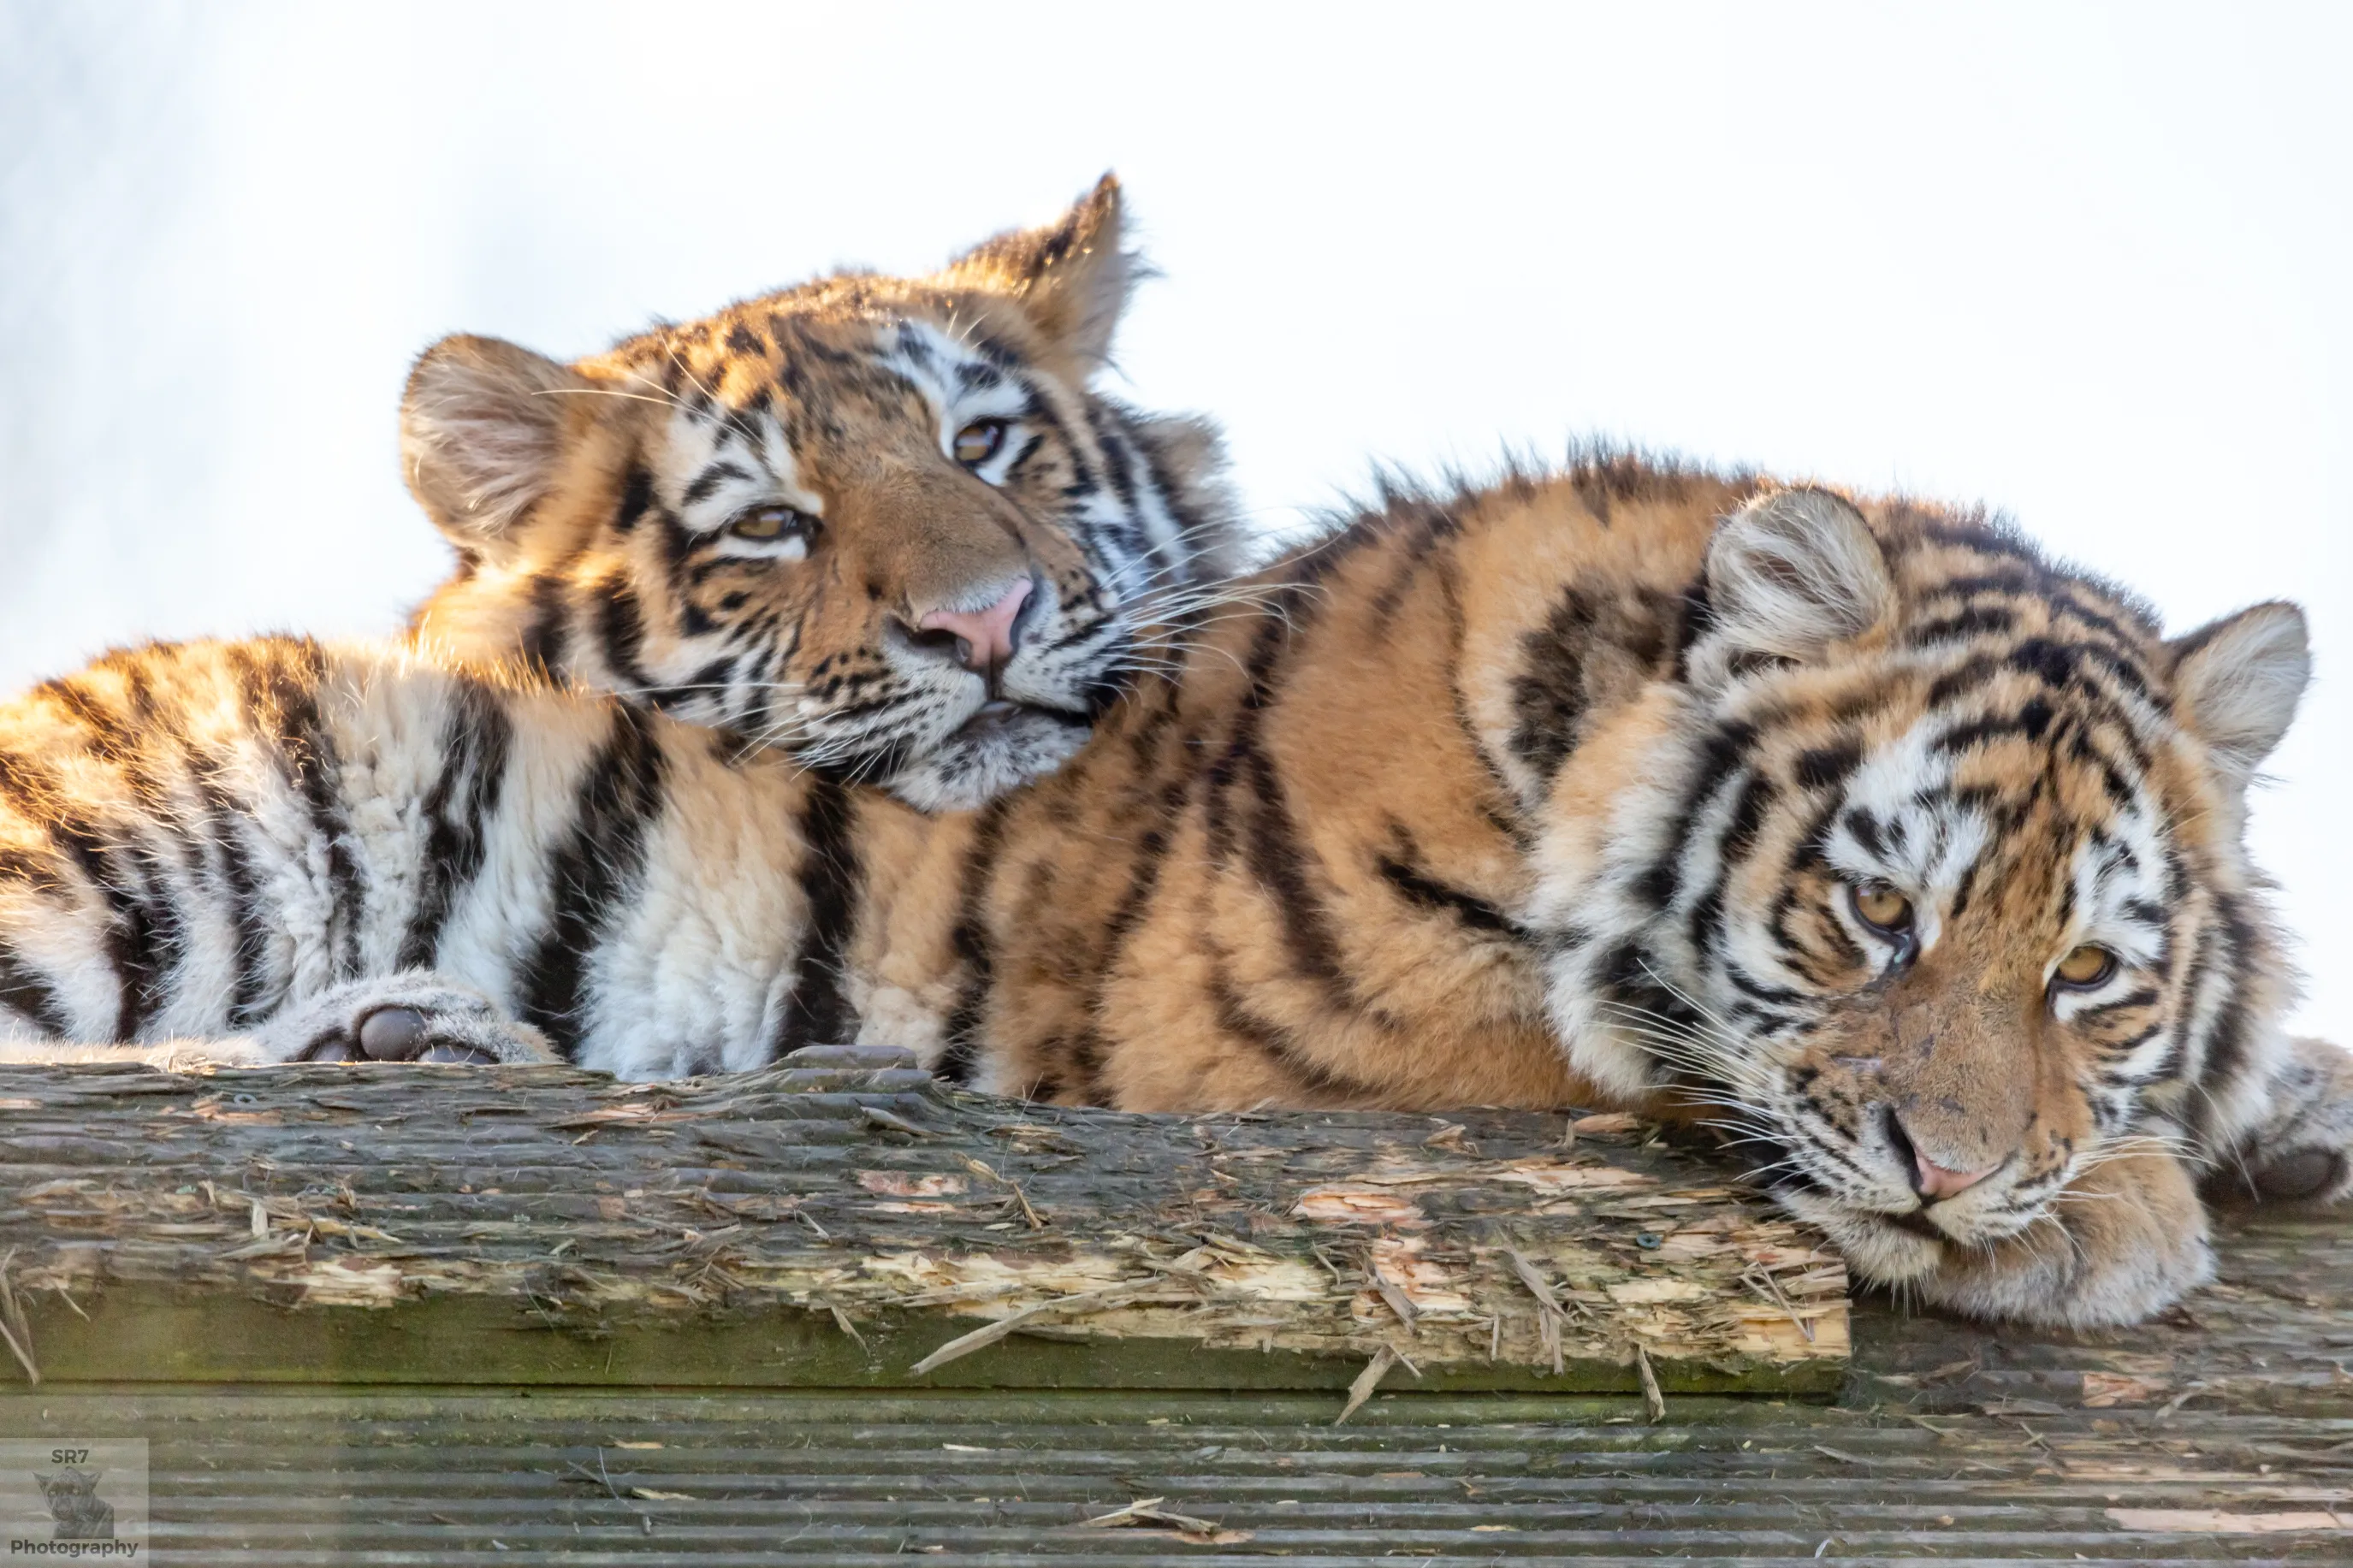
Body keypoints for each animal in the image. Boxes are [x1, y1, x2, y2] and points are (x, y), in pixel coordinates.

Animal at [0, 456, 2343, 1327]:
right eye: (1874, 917)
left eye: (2086, 971)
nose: (1961, 1170)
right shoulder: (1297, 1048)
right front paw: (2110, 1211)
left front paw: (2269, 1113)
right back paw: (386, 1029)